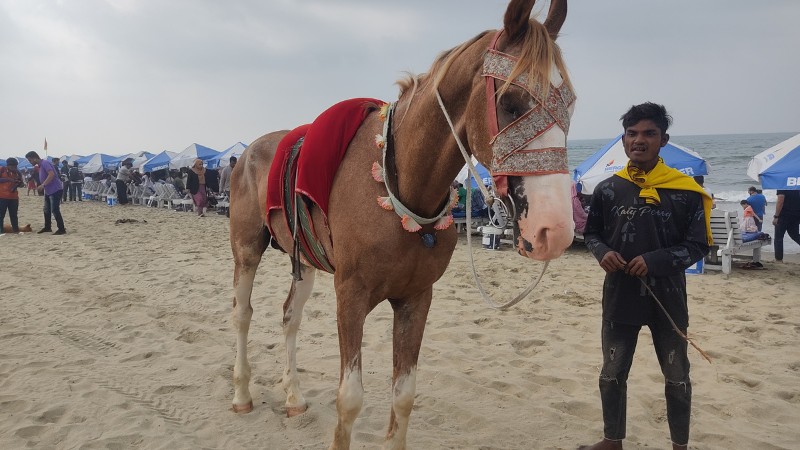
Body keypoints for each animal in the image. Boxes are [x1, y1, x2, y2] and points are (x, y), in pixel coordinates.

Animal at [228, 1, 572, 448]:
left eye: (570, 105)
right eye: (511, 102)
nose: (556, 230)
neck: (403, 184)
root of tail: (251, 150)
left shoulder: (416, 298)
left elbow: (404, 394)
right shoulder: (350, 297)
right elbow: (349, 400)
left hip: (303, 259)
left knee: (290, 317)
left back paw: (293, 397)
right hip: (246, 249)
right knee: (242, 313)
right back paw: (241, 394)